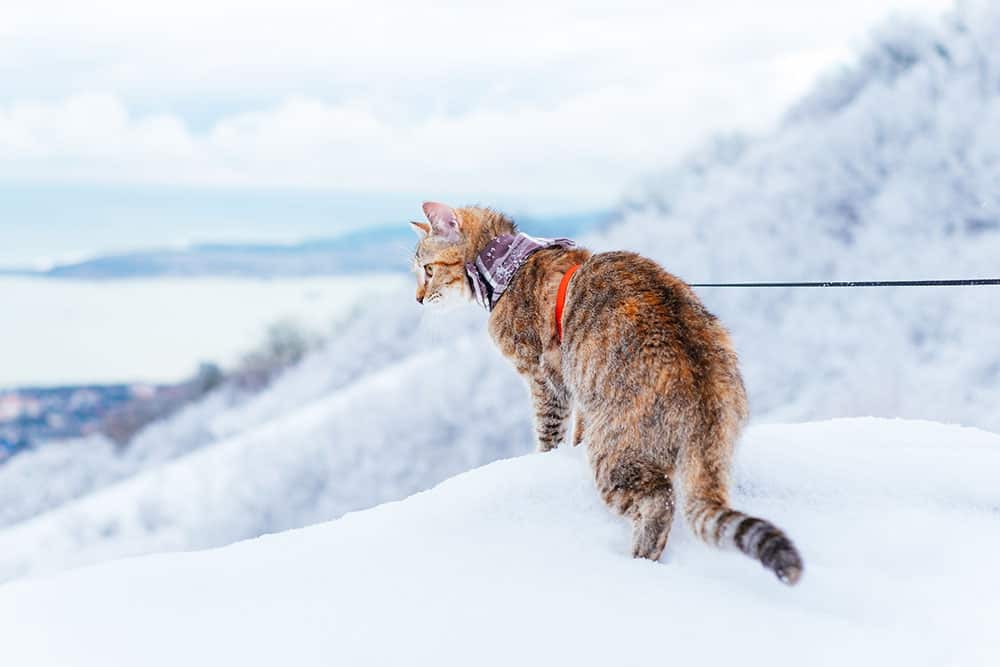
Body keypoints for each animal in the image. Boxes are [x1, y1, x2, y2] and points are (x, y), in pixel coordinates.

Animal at [410, 202, 800, 584]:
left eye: (427, 270)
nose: (418, 299)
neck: (510, 266)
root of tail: (706, 398)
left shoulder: (545, 378)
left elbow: (548, 432)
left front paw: (543, 460)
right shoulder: (579, 391)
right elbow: (575, 431)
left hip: (614, 453)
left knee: (659, 501)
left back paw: (638, 564)